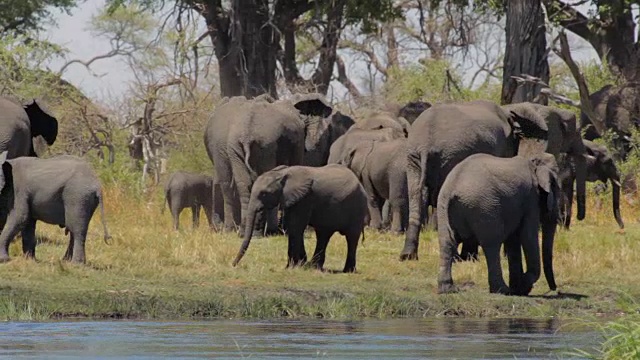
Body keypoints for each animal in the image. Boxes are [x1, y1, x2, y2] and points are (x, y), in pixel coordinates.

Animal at [204, 95, 336, 236]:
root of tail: (247, 135)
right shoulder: (298, 142)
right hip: (265, 144)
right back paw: (265, 231)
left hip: (236, 147)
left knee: (237, 184)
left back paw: (239, 231)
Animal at [232, 164, 368, 272]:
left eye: (264, 194)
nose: (233, 264)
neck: (282, 173)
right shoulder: (292, 199)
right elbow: (291, 228)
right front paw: (293, 266)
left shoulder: (304, 198)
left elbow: (296, 227)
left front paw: (295, 265)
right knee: (323, 234)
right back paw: (314, 267)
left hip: (358, 208)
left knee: (351, 238)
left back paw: (348, 271)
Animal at [402, 100, 548, 260]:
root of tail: (425, 145)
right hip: (453, 154)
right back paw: (461, 257)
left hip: (414, 159)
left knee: (417, 200)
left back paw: (408, 256)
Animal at [436, 153, 560, 296]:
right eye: (555, 186)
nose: (554, 289)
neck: (533, 160)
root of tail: (453, 186)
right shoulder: (531, 199)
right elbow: (527, 236)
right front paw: (523, 286)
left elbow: (513, 240)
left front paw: (518, 288)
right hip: (484, 207)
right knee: (492, 244)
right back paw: (502, 290)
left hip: (443, 206)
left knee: (447, 242)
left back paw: (447, 289)